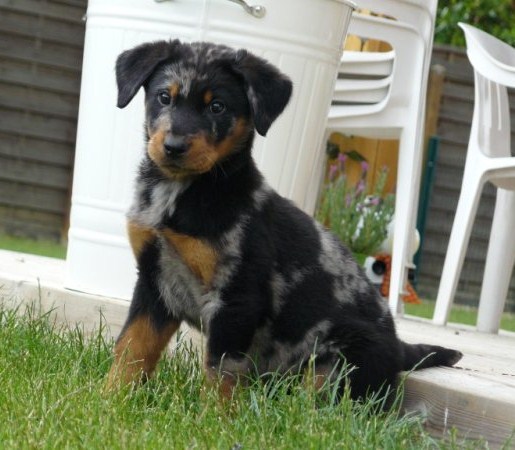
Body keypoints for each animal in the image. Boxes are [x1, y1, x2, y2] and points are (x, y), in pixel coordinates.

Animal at [106, 39, 462, 402]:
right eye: (164, 97)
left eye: (217, 107)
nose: (173, 147)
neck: (180, 192)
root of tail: (400, 348)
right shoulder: (153, 281)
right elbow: (132, 347)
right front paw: (110, 398)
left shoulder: (237, 297)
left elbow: (220, 373)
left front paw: (214, 415)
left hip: (335, 362)